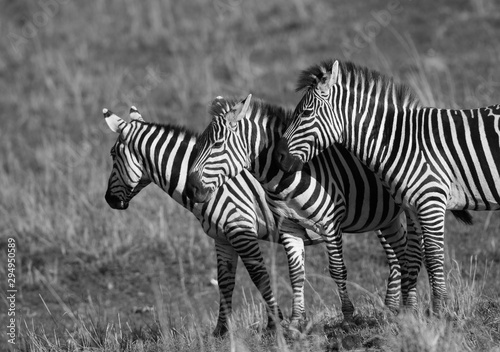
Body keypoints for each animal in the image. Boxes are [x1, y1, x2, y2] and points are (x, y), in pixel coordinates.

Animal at [103, 105, 326, 336]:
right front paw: (221, 330)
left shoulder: (240, 228)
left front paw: (274, 324)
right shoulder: (222, 237)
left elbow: (259, 276)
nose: (108, 199)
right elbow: (225, 281)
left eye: (112, 154)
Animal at [186, 94, 412, 324]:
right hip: (385, 216)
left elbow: (337, 269)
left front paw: (348, 316)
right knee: (399, 252)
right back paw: (393, 308)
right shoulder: (288, 226)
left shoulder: (331, 223)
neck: (286, 176)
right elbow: (295, 273)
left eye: (217, 144)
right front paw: (296, 320)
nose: (190, 189)